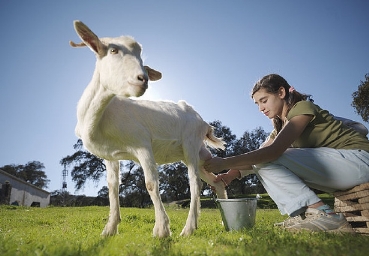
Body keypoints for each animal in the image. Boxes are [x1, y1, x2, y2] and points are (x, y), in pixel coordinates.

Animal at [68, 20, 224, 238]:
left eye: (142, 59)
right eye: (113, 50)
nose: (142, 79)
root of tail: (203, 122)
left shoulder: (142, 145)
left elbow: (150, 184)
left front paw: (162, 229)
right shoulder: (110, 156)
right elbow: (112, 188)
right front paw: (109, 229)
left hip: (191, 144)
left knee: (195, 183)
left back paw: (188, 229)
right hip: (198, 155)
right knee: (216, 180)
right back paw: (224, 222)